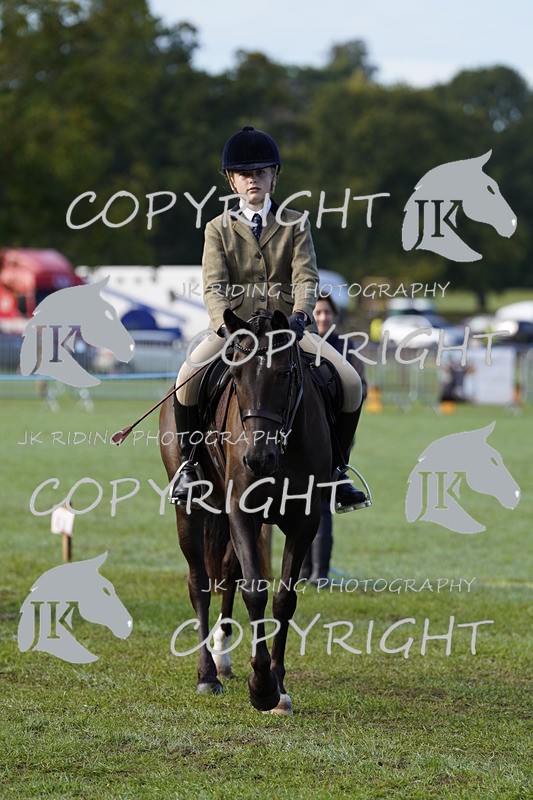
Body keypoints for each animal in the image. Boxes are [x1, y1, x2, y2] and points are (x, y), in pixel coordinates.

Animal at [160, 309, 334, 714]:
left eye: (284, 374)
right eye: (235, 377)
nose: (256, 459)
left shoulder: (305, 521)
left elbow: (284, 598)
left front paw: (279, 688)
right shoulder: (241, 510)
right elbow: (255, 592)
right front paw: (262, 686)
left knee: (227, 572)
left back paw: (222, 657)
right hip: (190, 509)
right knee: (199, 581)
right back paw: (207, 674)